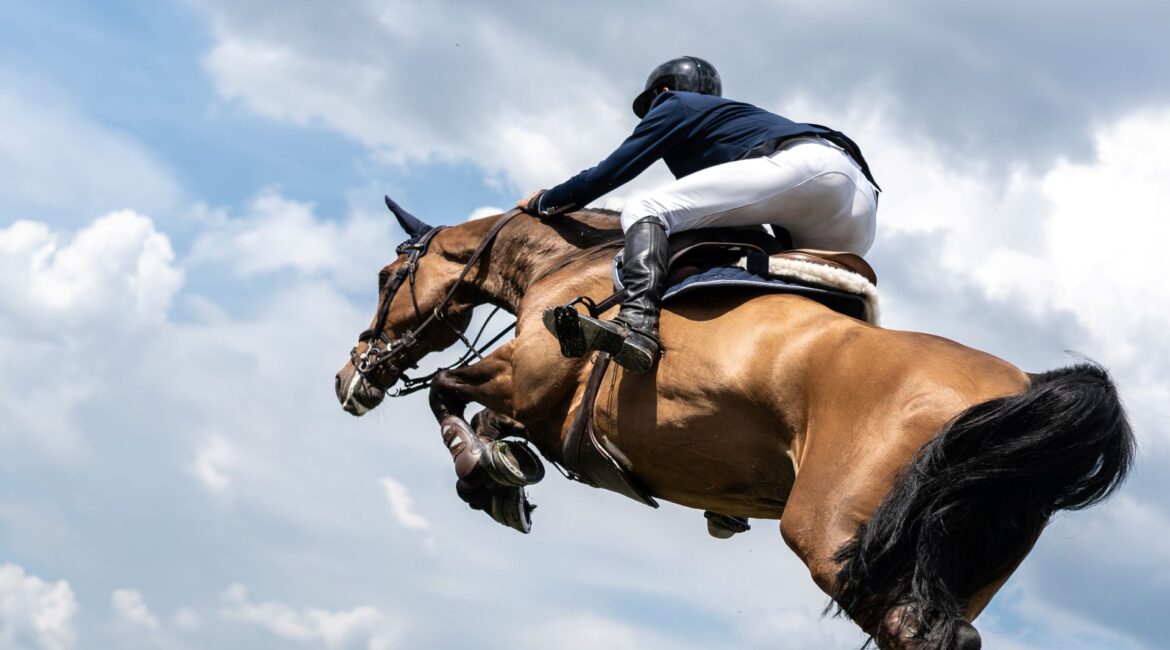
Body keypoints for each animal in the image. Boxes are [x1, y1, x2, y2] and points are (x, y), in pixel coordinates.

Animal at [334, 200, 1134, 650]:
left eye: (385, 279)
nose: (349, 378)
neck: (564, 265)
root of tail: (1024, 388)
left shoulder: (530, 378)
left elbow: (445, 392)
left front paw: (486, 476)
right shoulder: (536, 403)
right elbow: (485, 415)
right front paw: (507, 467)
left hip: (830, 537)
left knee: (919, 634)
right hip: (958, 560)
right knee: (952, 634)